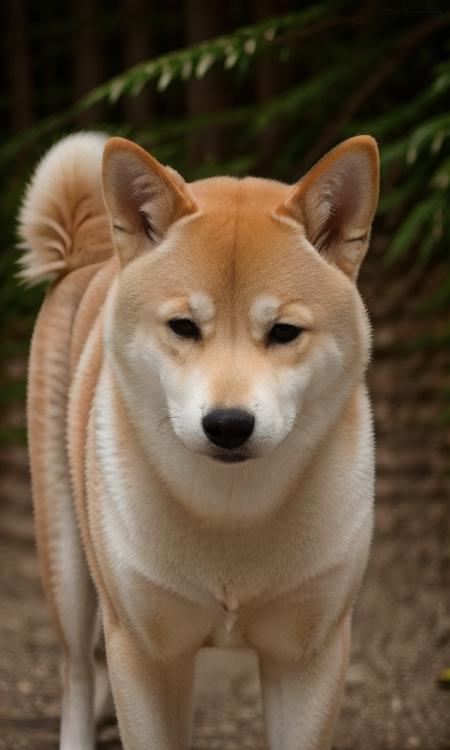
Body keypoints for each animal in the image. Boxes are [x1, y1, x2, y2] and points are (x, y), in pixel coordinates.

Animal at [19, 132, 380, 748]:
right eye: (184, 327)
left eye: (284, 331)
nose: (229, 424)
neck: (230, 514)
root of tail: (87, 255)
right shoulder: (144, 652)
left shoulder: (309, 655)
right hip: (67, 562)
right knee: (76, 672)